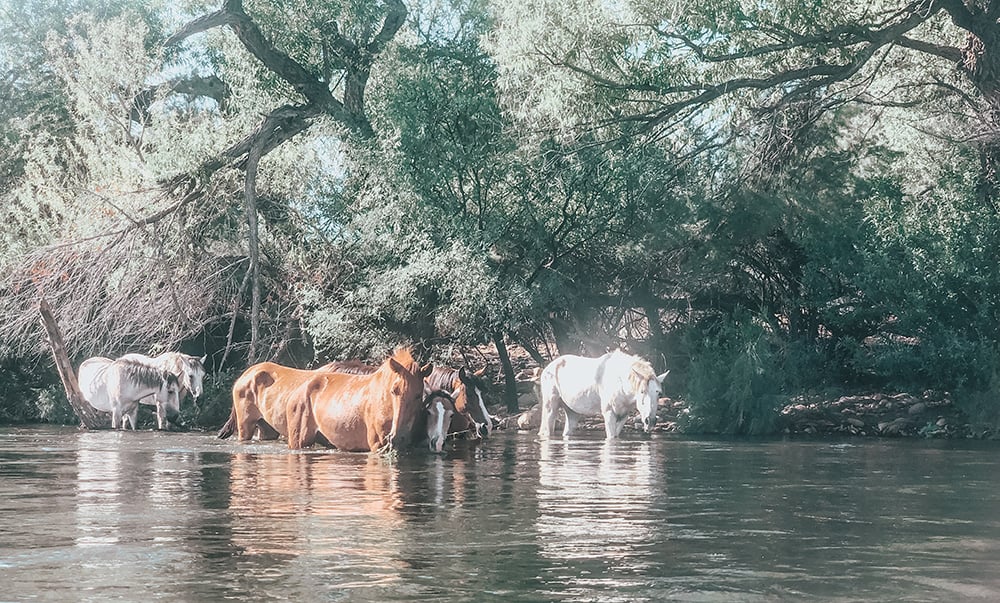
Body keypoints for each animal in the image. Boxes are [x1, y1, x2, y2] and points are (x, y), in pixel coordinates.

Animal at [536, 352, 668, 442]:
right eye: (642, 391)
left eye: (659, 393)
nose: (650, 421)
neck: (620, 383)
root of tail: (547, 368)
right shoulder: (609, 413)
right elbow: (611, 438)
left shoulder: (623, 416)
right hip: (550, 407)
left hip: (572, 411)